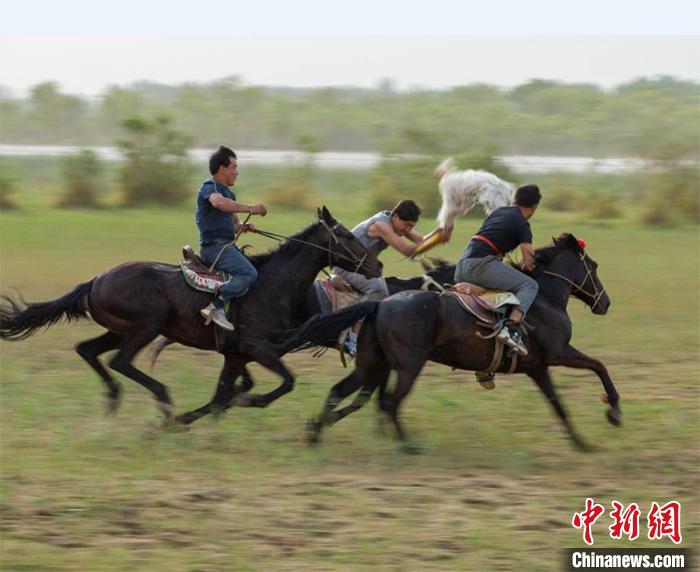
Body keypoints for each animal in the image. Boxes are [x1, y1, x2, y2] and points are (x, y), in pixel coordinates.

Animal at [0, 208, 380, 422]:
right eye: (345, 235)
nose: (376, 265)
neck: (273, 284)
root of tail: (96, 280)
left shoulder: (236, 355)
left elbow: (223, 394)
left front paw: (200, 417)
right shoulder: (257, 348)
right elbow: (285, 382)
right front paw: (248, 401)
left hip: (120, 330)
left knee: (88, 350)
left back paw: (115, 399)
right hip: (146, 326)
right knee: (120, 362)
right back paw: (164, 400)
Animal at [276, 232, 620, 452]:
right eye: (594, 267)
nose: (605, 303)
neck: (545, 297)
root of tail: (381, 304)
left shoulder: (538, 368)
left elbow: (558, 405)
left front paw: (581, 442)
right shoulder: (559, 353)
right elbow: (600, 366)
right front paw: (614, 411)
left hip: (373, 363)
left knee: (342, 391)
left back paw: (314, 432)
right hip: (408, 366)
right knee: (390, 402)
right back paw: (408, 445)